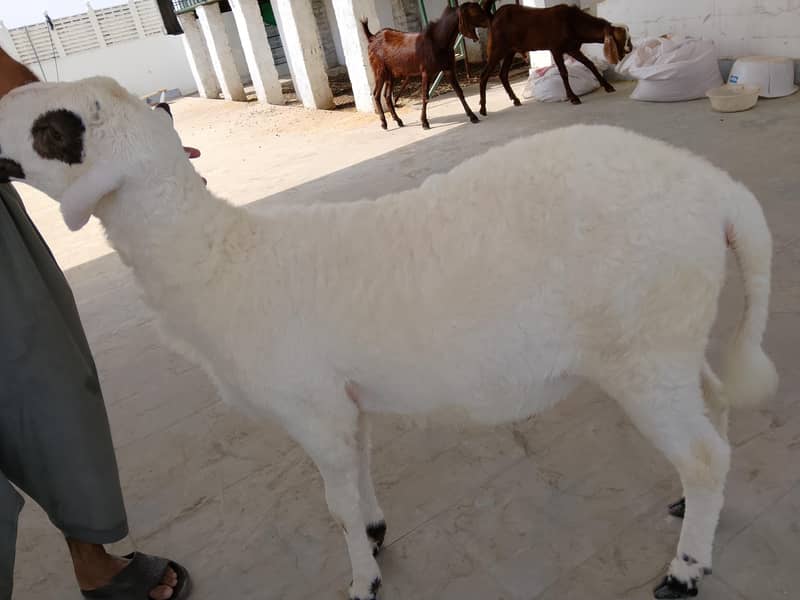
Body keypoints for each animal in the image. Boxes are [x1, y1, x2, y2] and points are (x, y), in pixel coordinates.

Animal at [0, 77, 778, 600]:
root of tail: (719, 192)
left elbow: (336, 504)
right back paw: (690, 511)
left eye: (53, 128)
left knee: (705, 455)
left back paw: (685, 568)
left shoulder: (311, 406)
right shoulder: (344, 401)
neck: (218, 259)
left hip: (642, 346)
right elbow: (361, 475)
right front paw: (374, 536)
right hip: (672, 333)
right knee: (714, 407)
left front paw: (362, 580)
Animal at [361, 2, 489, 130]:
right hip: (379, 71)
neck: (438, 42)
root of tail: (372, 37)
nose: (490, 19)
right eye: (475, 12)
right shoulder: (426, 72)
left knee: (387, 96)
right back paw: (384, 123)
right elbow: (425, 96)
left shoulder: (448, 69)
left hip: (391, 74)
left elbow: (459, 92)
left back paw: (398, 120)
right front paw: (424, 122)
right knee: (376, 94)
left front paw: (472, 116)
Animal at [473, 1, 631, 112]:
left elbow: (590, 64)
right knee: (484, 75)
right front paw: (573, 97)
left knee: (503, 74)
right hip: (497, 49)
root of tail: (493, 16)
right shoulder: (556, 49)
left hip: (509, 51)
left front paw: (608, 86)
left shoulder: (572, 48)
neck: (572, 22)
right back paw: (482, 109)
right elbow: (563, 72)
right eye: (622, 38)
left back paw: (515, 100)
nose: (630, 48)